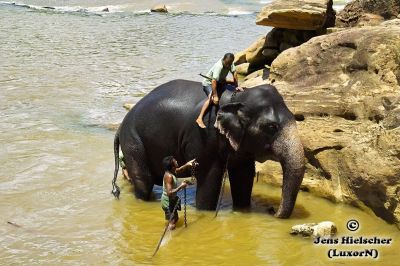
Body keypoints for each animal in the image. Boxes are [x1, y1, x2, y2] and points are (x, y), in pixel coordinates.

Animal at [111, 79, 304, 218]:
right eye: (271, 127)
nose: (272, 211)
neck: (236, 98)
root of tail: (121, 126)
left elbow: (243, 175)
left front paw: (243, 210)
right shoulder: (202, 137)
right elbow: (209, 177)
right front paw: (205, 211)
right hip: (133, 142)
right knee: (144, 181)